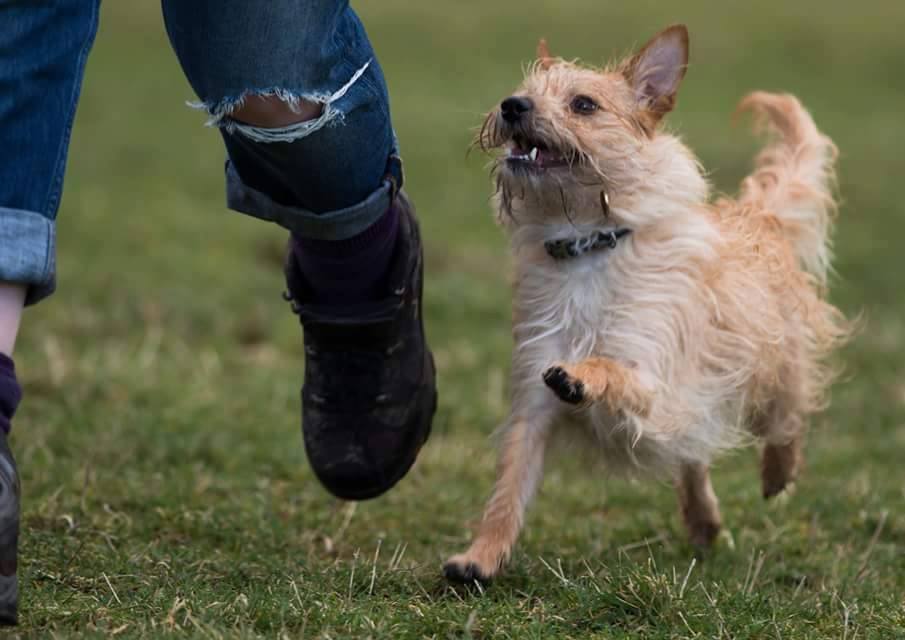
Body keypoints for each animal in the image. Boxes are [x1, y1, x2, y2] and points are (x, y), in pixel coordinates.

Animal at [444, 25, 848, 584]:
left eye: (584, 104)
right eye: (522, 91)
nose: (512, 105)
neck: (587, 247)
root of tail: (758, 215)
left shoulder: (655, 377)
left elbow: (611, 367)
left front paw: (582, 375)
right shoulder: (533, 403)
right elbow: (508, 491)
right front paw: (480, 558)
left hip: (773, 367)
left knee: (789, 414)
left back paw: (778, 469)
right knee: (692, 453)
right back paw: (702, 518)